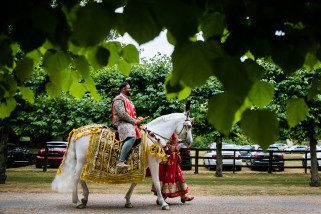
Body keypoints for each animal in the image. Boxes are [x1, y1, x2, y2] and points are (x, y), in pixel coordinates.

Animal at [52, 113, 192, 210]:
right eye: (189, 126)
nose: (189, 142)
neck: (153, 136)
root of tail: (77, 131)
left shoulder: (144, 165)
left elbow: (135, 183)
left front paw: (128, 200)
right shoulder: (153, 163)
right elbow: (157, 182)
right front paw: (163, 203)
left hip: (83, 161)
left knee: (80, 178)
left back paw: (84, 198)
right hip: (81, 160)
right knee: (76, 177)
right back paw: (76, 201)